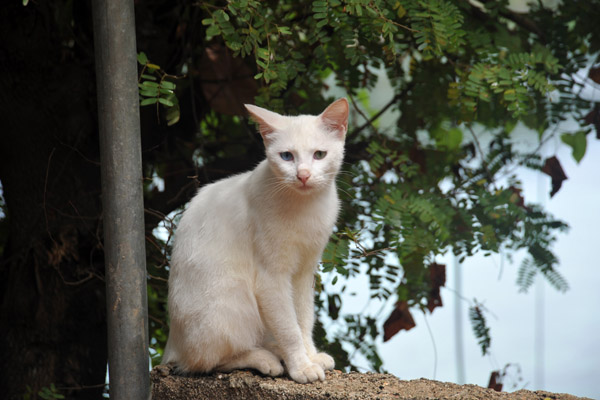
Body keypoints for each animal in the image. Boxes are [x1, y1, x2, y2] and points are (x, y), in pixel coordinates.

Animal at [164, 98, 350, 382]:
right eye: (287, 156)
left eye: (319, 155)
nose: (303, 175)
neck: (306, 207)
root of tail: (172, 344)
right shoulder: (271, 278)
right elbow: (289, 329)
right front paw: (301, 366)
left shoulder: (304, 273)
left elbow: (304, 319)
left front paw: (310, 355)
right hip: (233, 299)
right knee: (204, 362)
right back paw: (265, 359)